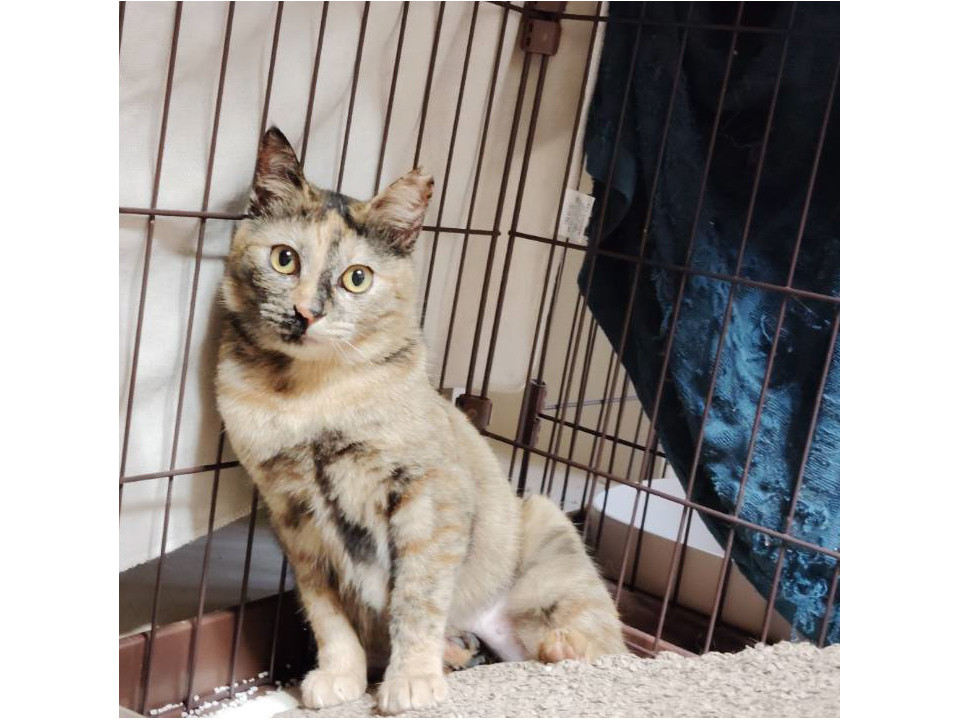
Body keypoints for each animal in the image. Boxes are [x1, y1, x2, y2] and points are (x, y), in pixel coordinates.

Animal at [216, 128, 627, 714]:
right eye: (285, 259)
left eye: (357, 278)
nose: (306, 313)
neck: (308, 398)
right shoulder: (294, 517)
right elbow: (327, 613)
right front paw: (339, 678)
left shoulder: (428, 497)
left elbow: (416, 598)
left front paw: (410, 684)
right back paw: (459, 652)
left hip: (550, 536)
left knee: (605, 647)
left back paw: (557, 650)